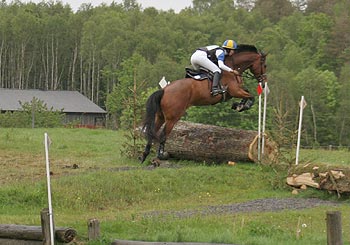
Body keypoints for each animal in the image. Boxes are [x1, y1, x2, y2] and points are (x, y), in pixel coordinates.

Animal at [139, 44, 268, 164]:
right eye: (265, 65)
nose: (263, 82)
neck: (232, 66)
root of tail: (164, 90)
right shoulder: (234, 90)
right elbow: (251, 96)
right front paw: (242, 106)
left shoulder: (235, 91)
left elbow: (247, 92)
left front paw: (238, 105)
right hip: (172, 118)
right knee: (162, 135)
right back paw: (161, 155)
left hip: (160, 116)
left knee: (152, 133)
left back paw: (144, 156)